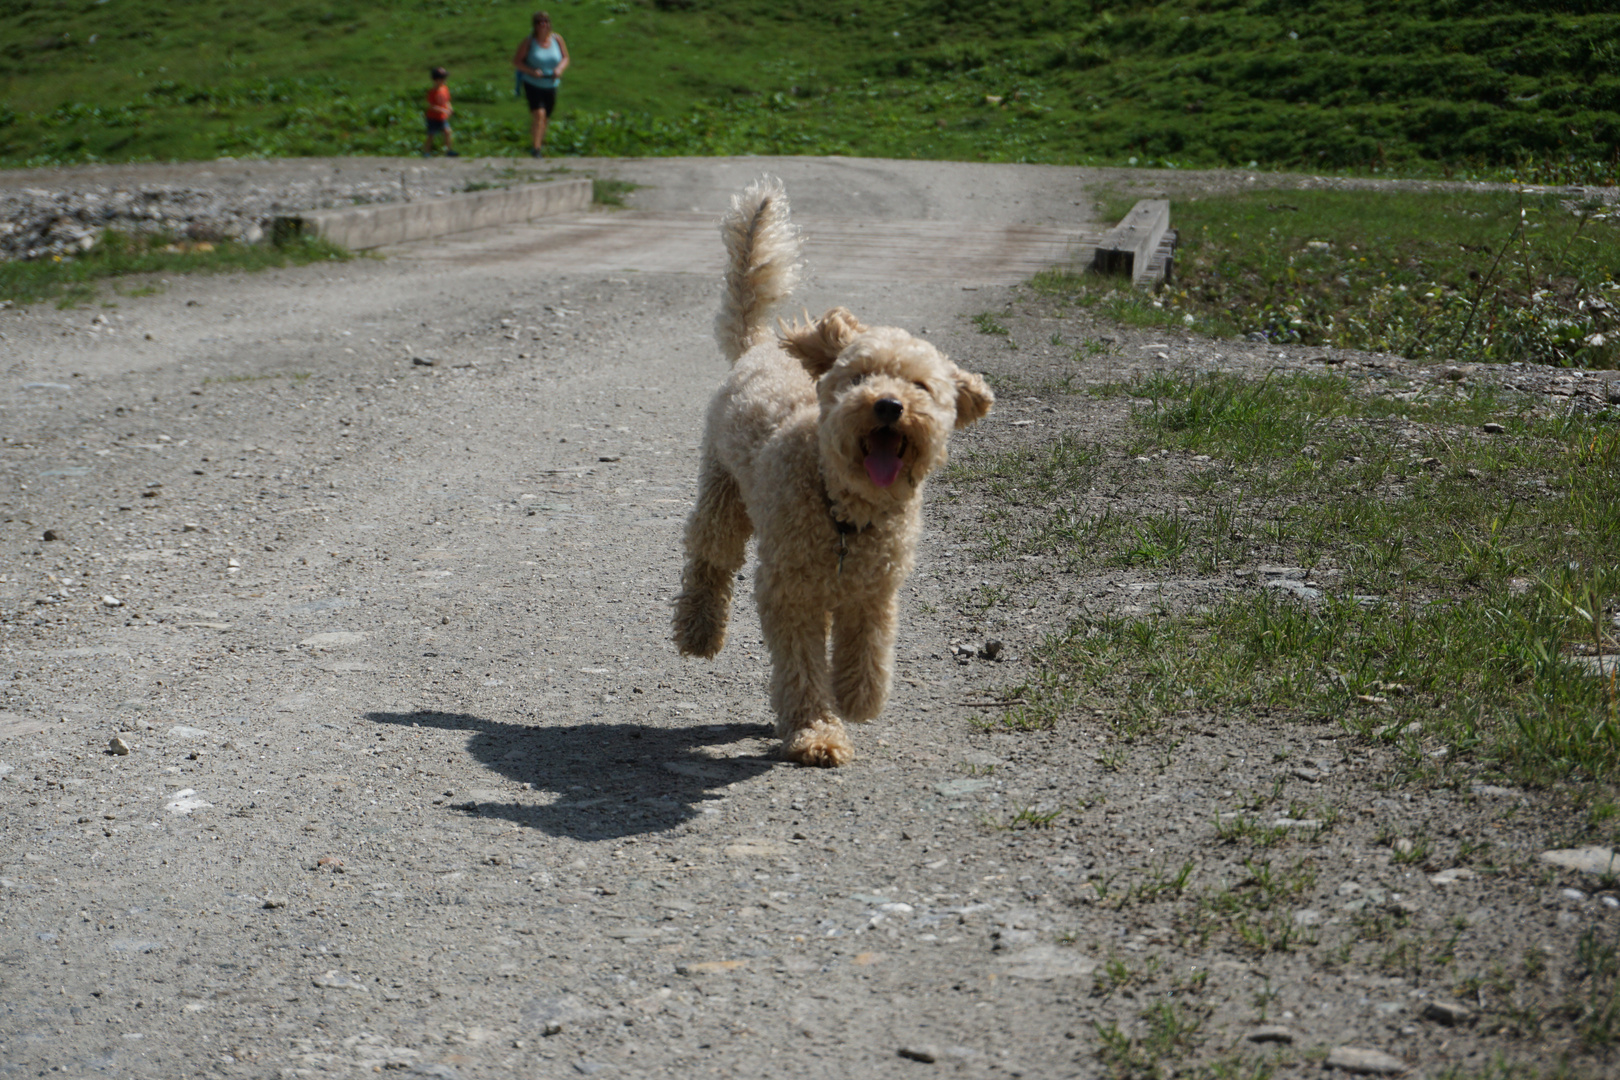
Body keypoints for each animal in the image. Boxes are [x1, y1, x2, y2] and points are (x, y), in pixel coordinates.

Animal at [667, 179, 991, 767]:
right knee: (709, 556)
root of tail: (760, 348)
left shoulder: (872, 592)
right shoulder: (790, 592)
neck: (844, 512)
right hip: (723, 491)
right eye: (858, 375)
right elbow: (800, 667)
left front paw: (857, 698)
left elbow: (867, 653)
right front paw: (816, 733)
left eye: (920, 386)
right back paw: (699, 631)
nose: (888, 405)